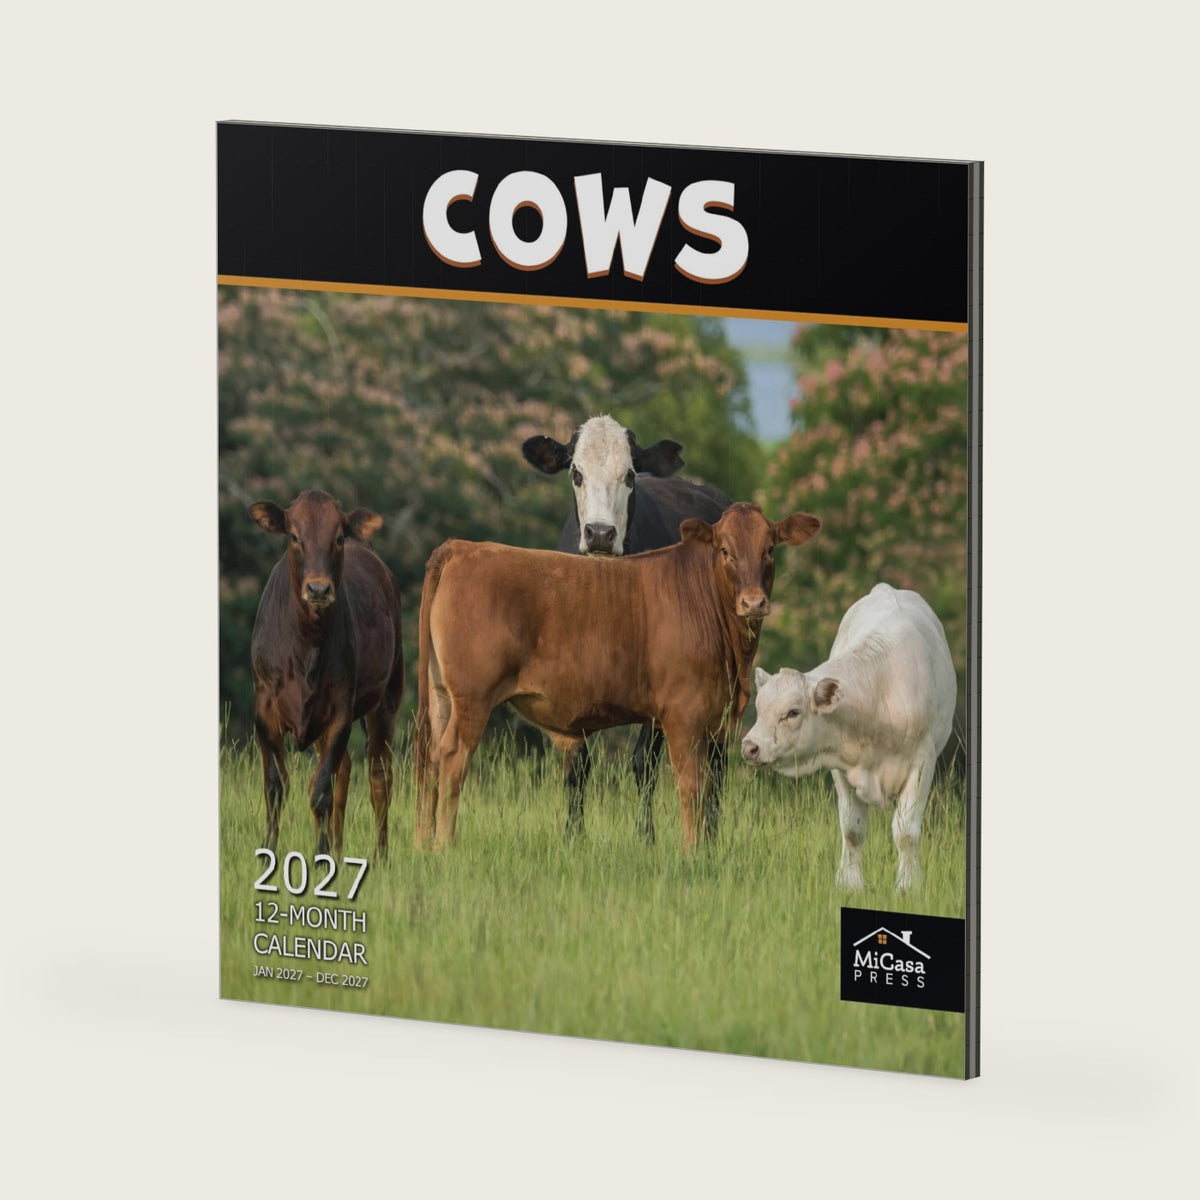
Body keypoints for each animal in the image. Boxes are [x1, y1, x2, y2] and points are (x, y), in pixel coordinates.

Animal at [249, 490, 405, 859]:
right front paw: (269, 849)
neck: (306, 643)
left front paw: (320, 857)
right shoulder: (264, 710)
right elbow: (276, 786)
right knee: (344, 771)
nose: (318, 590)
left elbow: (320, 791)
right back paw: (336, 846)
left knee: (378, 775)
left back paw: (380, 854)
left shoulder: (340, 712)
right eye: (294, 536)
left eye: (337, 538)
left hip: (387, 697)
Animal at [415, 502, 820, 852]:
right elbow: (691, 786)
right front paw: (691, 852)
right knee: (452, 756)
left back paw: (423, 844)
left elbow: (714, 790)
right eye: (725, 550)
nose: (753, 602)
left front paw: (708, 850)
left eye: (769, 549)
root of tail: (462, 547)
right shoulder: (683, 715)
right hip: (472, 698)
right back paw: (444, 845)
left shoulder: (718, 720)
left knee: (430, 757)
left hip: (440, 695)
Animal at [522, 415, 732, 836]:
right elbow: (578, 763)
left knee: (717, 756)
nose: (601, 534)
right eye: (576, 473)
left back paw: (712, 832)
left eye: (631, 474)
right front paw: (573, 835)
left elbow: (644, 763)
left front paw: (646, 837)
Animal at [740, 584, 956, 891]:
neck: (879, 697)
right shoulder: (841, 767)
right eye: (759, 709)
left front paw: (908, 885)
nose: (750, 747)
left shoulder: (922, 764)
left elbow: (906, 831)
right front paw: (850, 884)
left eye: (792, 712)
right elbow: (852, 829)